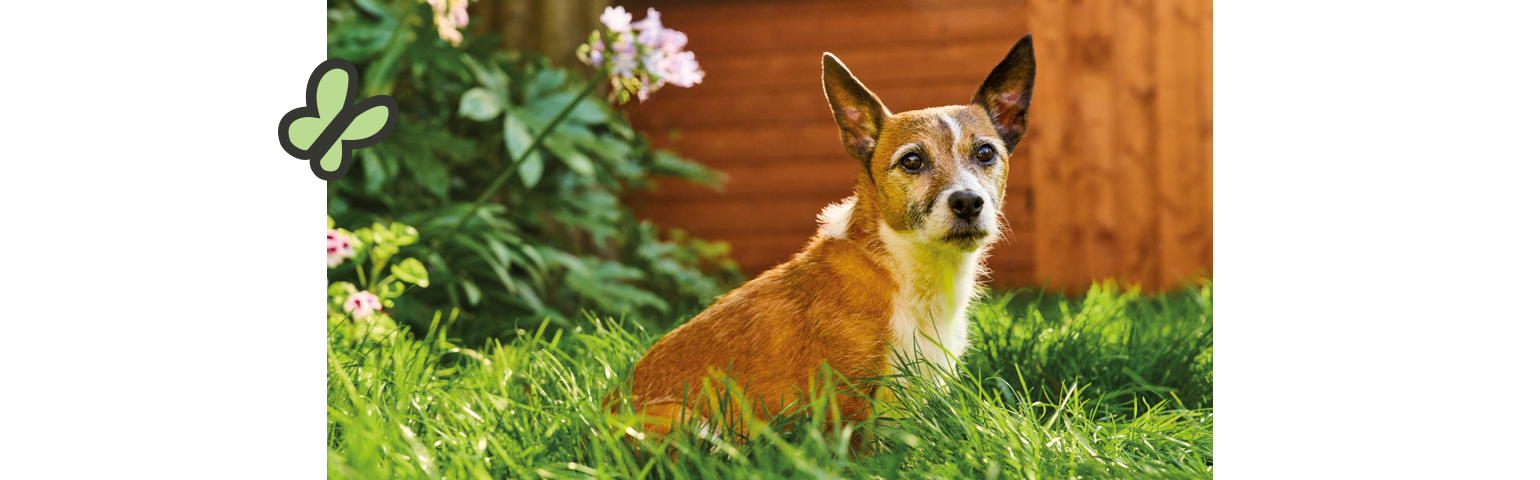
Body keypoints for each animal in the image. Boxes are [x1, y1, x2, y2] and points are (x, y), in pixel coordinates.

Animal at [609, 33, 1034, 449]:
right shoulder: (849, 405)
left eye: (985, 152)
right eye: (912, 161)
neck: (902, 267)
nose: (968, 202)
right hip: (692, 425)